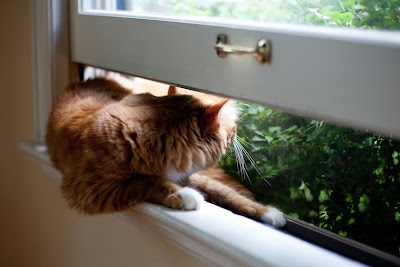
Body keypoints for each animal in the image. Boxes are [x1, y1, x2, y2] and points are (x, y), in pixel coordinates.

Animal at [46, 77, 284, 228]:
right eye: (233, 129)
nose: (238, 132)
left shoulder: (190, 175)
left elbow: (226, 193)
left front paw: (267, 213)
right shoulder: (92, 191)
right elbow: (146, 181)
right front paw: (185, 196)